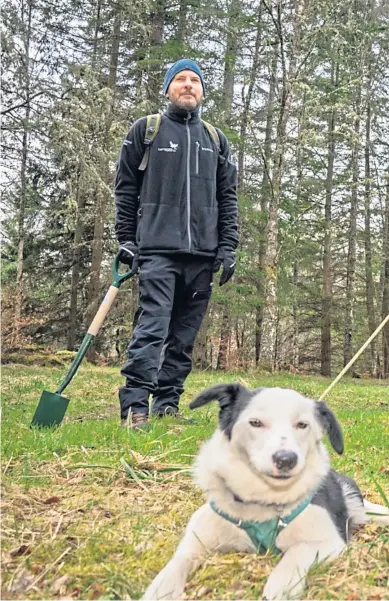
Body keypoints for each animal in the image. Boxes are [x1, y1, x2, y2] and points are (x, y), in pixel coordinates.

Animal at [142, 386, 388, 596]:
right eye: (255, 422)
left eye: (302, 425)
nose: (286, 460)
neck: (264, 499)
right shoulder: (198, 537)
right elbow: (178, 561)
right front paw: (162, 588)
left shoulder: (329, 541)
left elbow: (297, 551)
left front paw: (283, 583)